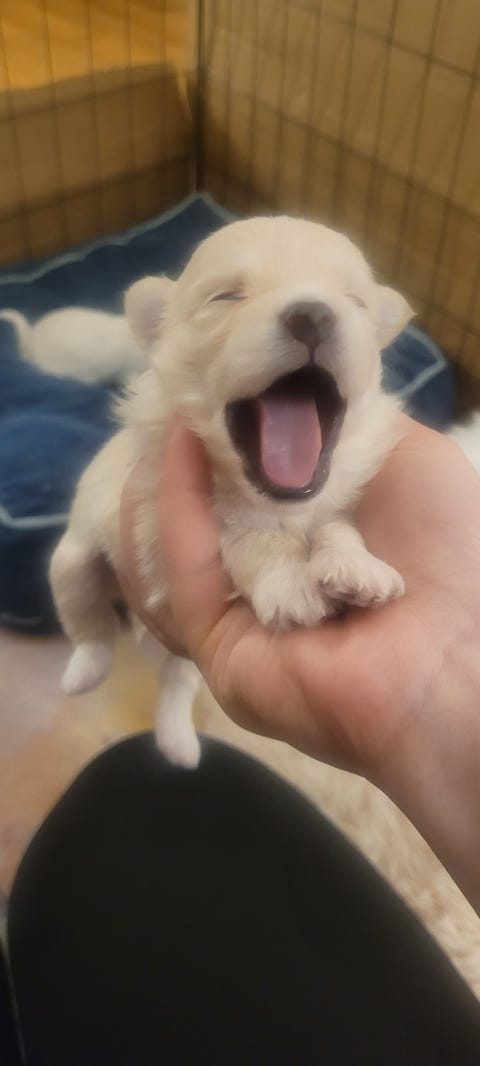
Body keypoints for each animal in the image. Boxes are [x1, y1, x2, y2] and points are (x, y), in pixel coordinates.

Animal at [50, 216, 413, 768]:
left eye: (355, 301)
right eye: (225, 297)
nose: (313, 312)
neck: (275, 502)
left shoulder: (332, 503)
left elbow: (337, 528)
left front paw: (358, 569)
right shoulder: (165, 514)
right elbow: (253, 539)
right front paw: (290, 584)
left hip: (187, 659)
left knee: (175, 684)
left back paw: (178, 744)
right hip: (73, 564)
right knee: (91, 627)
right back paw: (81, 674)